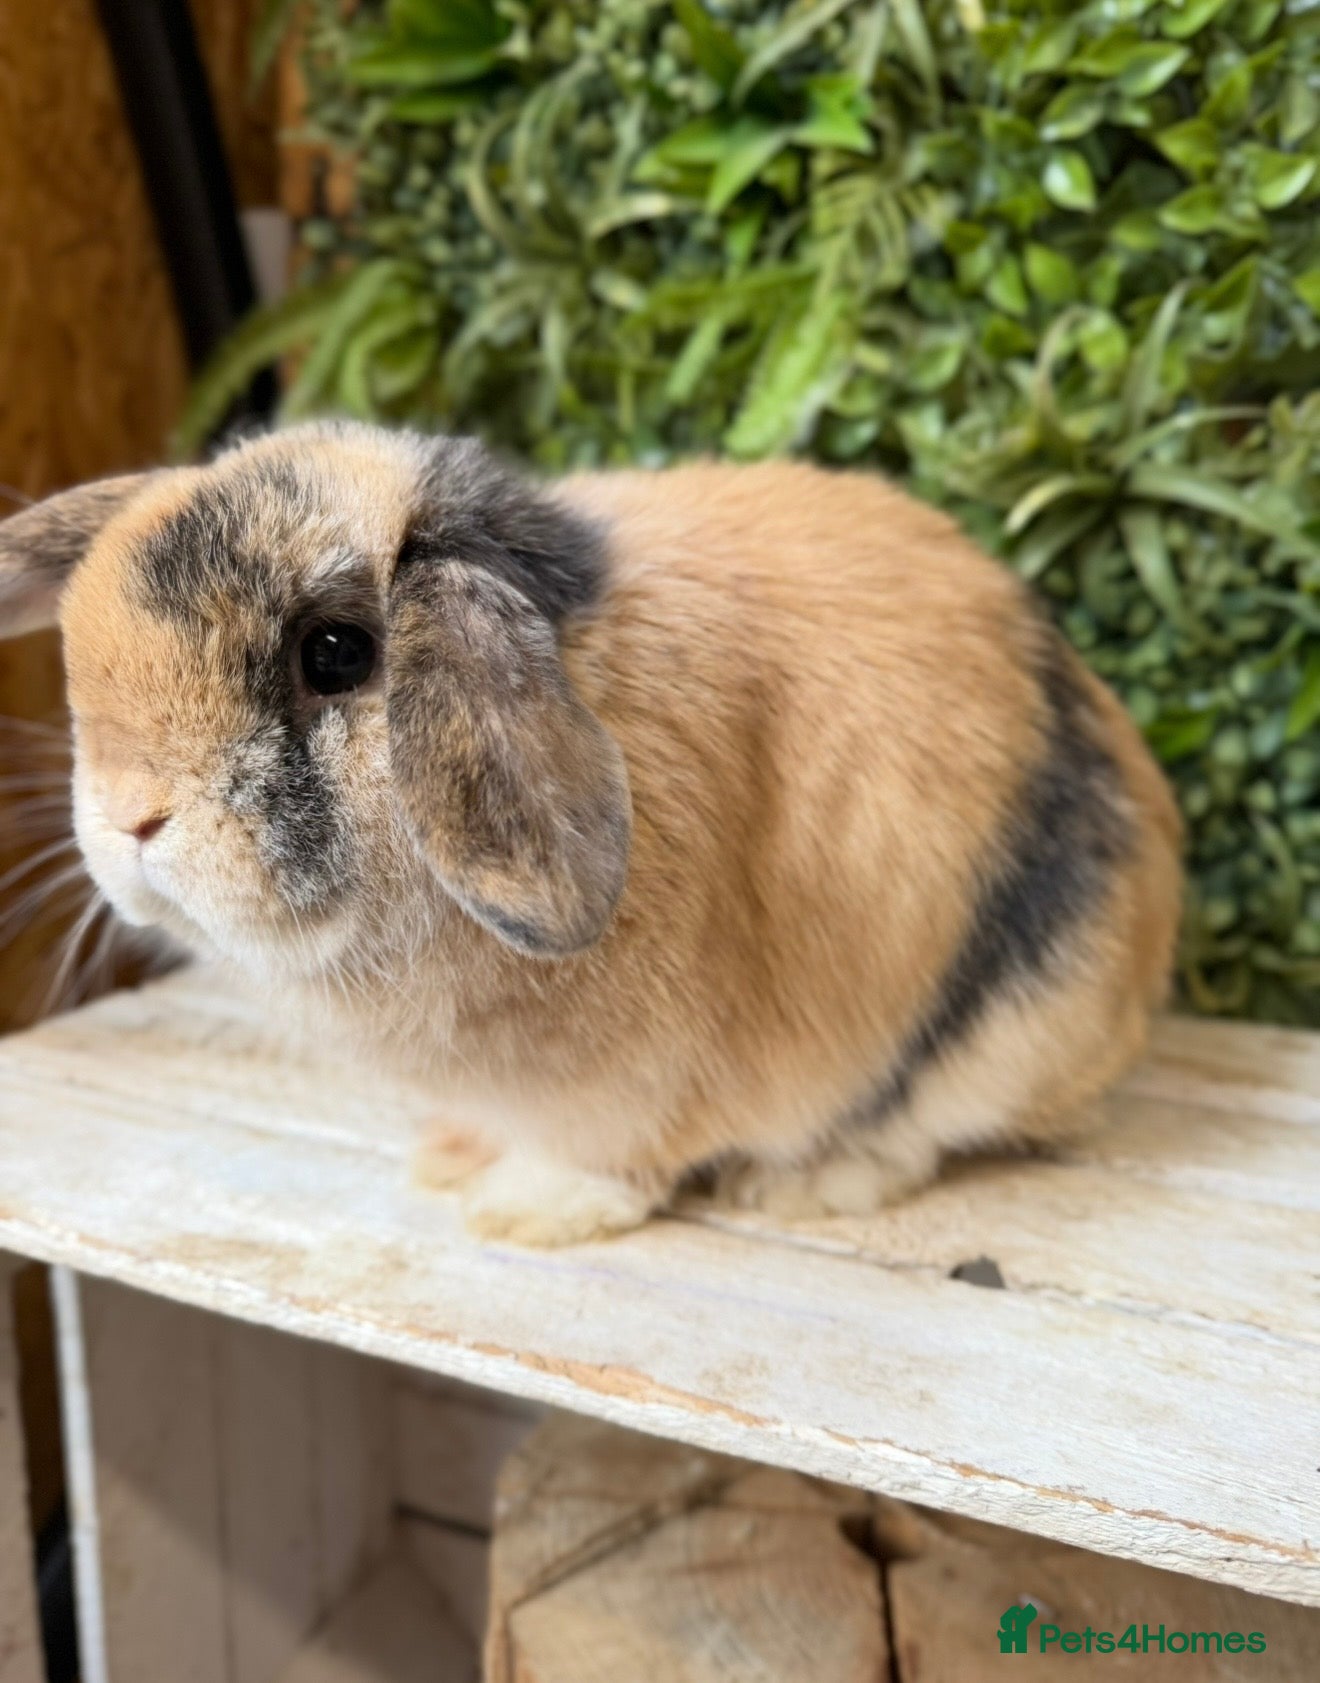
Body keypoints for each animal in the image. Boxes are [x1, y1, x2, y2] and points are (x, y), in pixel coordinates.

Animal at [0, 423, 1182, 1245]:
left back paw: (802, 1183)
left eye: (334, 652)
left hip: (1007, 1030)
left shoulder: (627, 1092)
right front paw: (450, 1160)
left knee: (921, 1124)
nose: (132, 816)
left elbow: (603, 1164)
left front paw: (523, 1215)